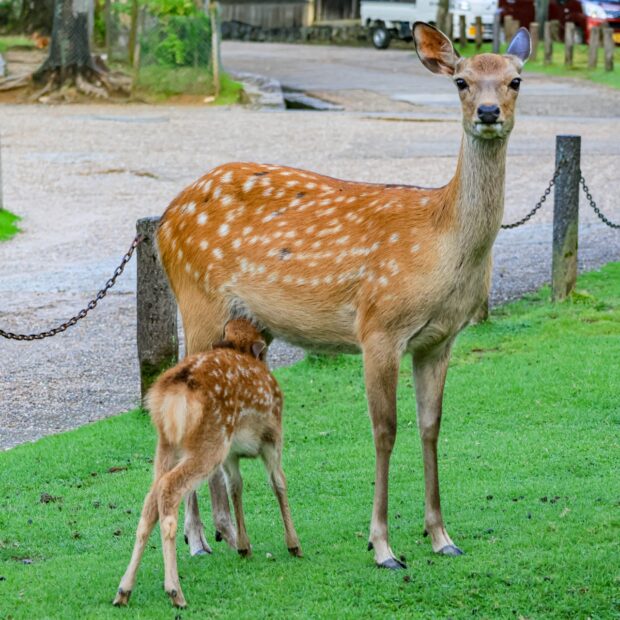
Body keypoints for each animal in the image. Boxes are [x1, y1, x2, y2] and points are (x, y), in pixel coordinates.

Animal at [115, 322, 304, 608]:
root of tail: (171, 395)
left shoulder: (231, 455)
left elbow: (236, 487)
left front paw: (244, 547)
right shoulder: (273, 437)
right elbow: (278, 483)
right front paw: (293, 545)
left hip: (168, 446)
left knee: (150, 501)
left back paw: (124, 591)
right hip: (210, 441)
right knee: (168, 489)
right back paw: (175, 591)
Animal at [155, 23, 532, 568]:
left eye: (515, 80)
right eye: (461, 81)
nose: (487, 112)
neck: (441, 242)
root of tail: (162, 221)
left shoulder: (440, 339)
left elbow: (431, 426)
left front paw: (441, 536)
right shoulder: (379, 325)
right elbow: (385, 430)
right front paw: (382, 545)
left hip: (249, 323)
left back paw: (225, 532)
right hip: (196, 298)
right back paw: (200, 538)